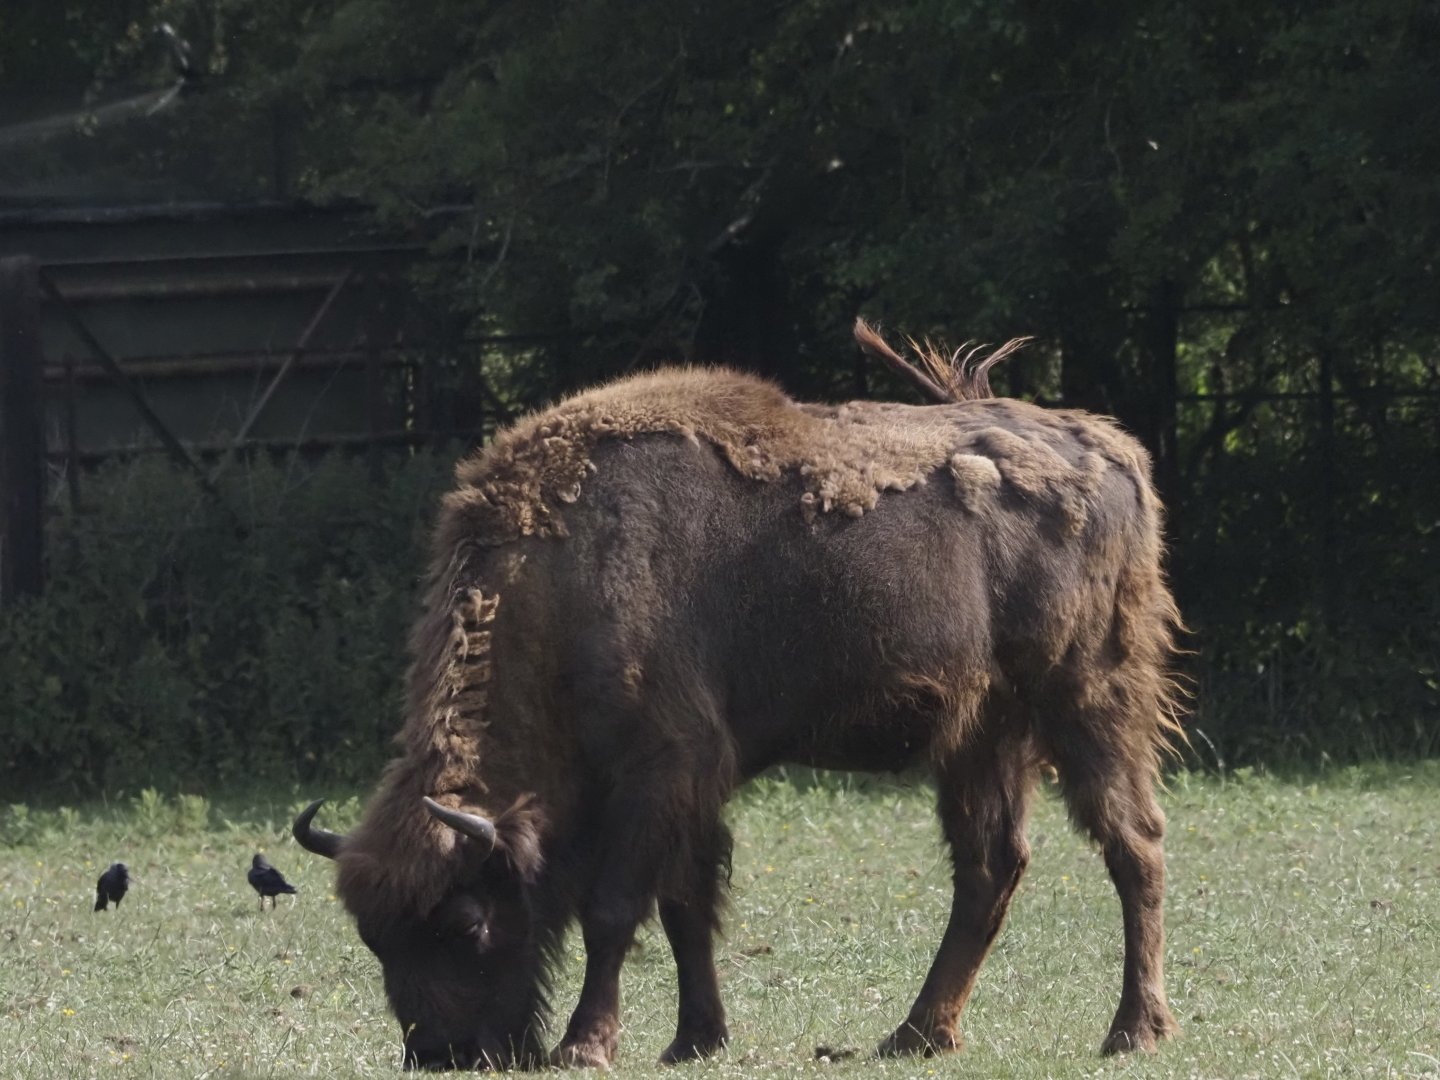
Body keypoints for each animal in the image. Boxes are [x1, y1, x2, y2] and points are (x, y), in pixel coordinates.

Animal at [295, 320, 1184, 1069]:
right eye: (375, 937)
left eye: (468, 923)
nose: (440, 1054)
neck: (561, 578)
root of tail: (1114, 451)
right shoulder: (690, 787)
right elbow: (686, 907)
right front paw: (694, 1040)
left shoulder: (661, 768)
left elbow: (616, 908)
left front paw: (586, 1047)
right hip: (979, 734)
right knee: (990, 866)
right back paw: (915, 1034)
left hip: (1087, 699)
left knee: (1132, 843)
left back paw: (1132, 1031)